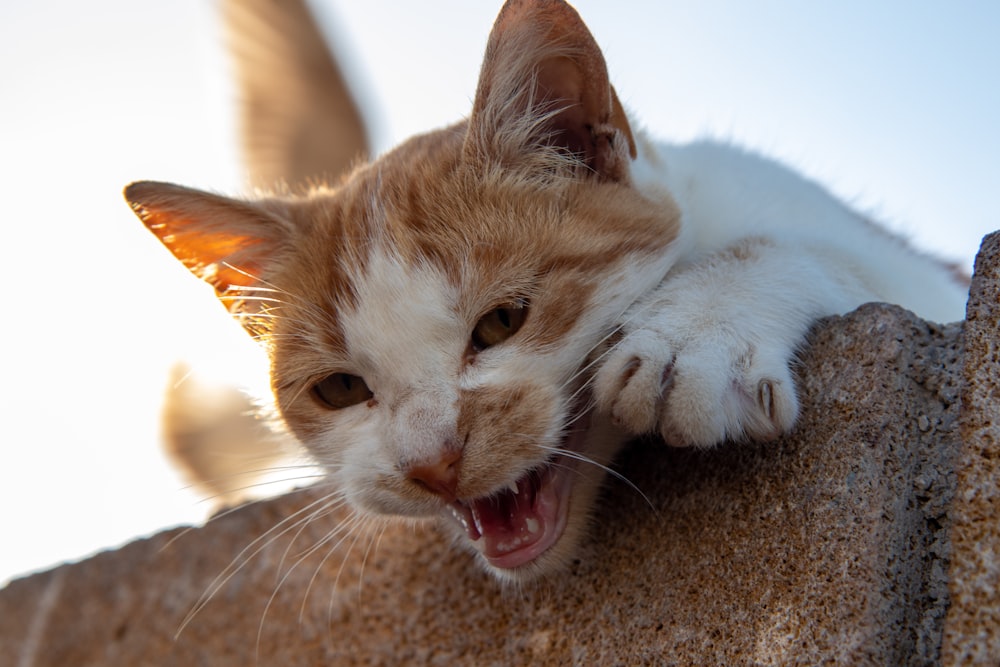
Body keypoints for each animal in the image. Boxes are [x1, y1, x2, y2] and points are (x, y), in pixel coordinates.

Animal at [121, 0, 964, 580]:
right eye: (339, 389)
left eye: (502, 321)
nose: (431, 461)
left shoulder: (923, 279)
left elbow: (800, 248)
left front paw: (698, 332)